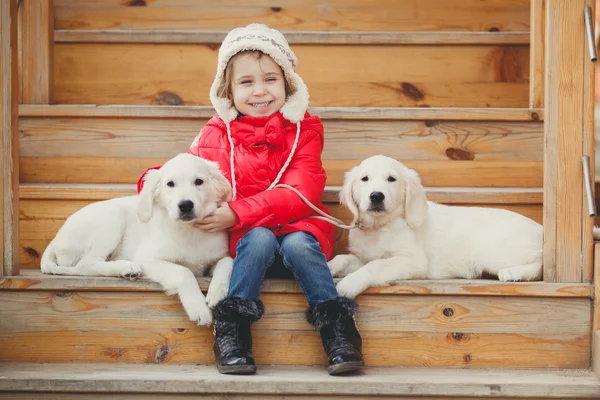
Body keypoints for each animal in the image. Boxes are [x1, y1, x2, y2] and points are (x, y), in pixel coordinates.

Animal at [40, 153, 234, 324]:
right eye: (170, 184)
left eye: (199, 181)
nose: (185, 205)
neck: (190, 231)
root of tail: (57, 238)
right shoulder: (148, 258)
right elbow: (183, 272)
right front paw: (198, 308)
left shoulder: (215, 257)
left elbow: (228, 261)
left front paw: (217, 294)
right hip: (112, 219)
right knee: (85, 265)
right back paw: (126, 267)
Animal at [328, 155, 544, 298]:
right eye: (364, 179)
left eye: (391, 179)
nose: (376, 196)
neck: (381, 225)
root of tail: (540, 229)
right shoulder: (362, 256)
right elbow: (342, 259)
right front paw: (328, 266)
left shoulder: (413, 261)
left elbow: (376, 265)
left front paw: (349, 284)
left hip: (494, 253)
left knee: (540, 263)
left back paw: (514, 273)